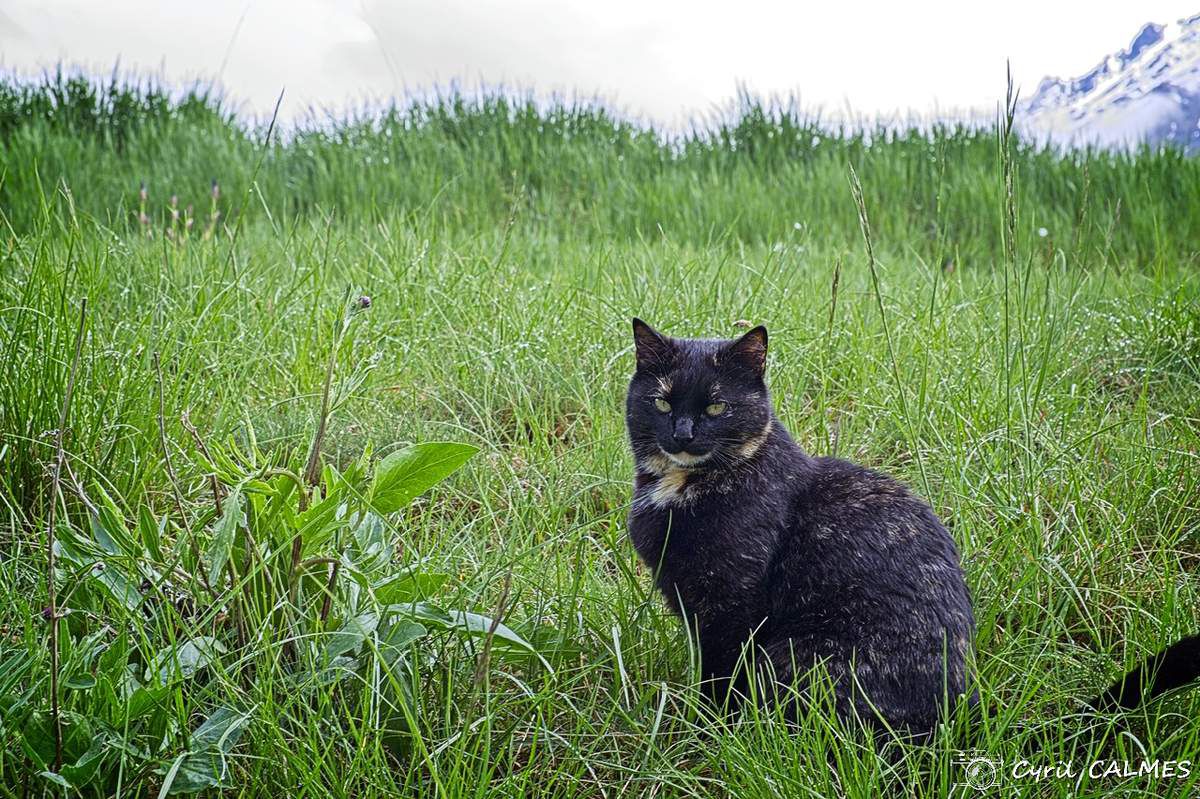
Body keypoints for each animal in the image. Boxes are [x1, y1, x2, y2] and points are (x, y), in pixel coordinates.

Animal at [624, 316, 1200, 734]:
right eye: (662, 400)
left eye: (717, 406)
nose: (682, 432)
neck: (681, 486)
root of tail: (961, 719)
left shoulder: (730, 612)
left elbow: (719, 683)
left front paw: (705, 733)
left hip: (795, 657)